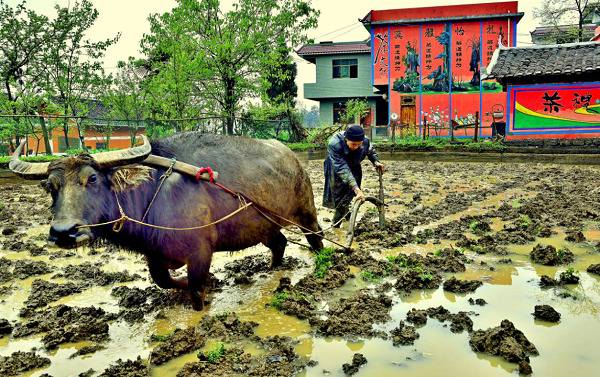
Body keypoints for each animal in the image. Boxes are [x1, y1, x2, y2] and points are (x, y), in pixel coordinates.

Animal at [9, 132, 324, 308]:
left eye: (93, 179)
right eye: (50, 186)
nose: (64, 232)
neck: (154, 193)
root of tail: (292, 158)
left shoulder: (200, 252)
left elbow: (195, 288)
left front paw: (205, 293)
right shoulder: (155, 255)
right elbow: (164, 281)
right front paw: (208, 283)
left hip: (306, 211)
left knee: (315, 237)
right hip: (263, 225)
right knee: (279, 243)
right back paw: (273, 269)